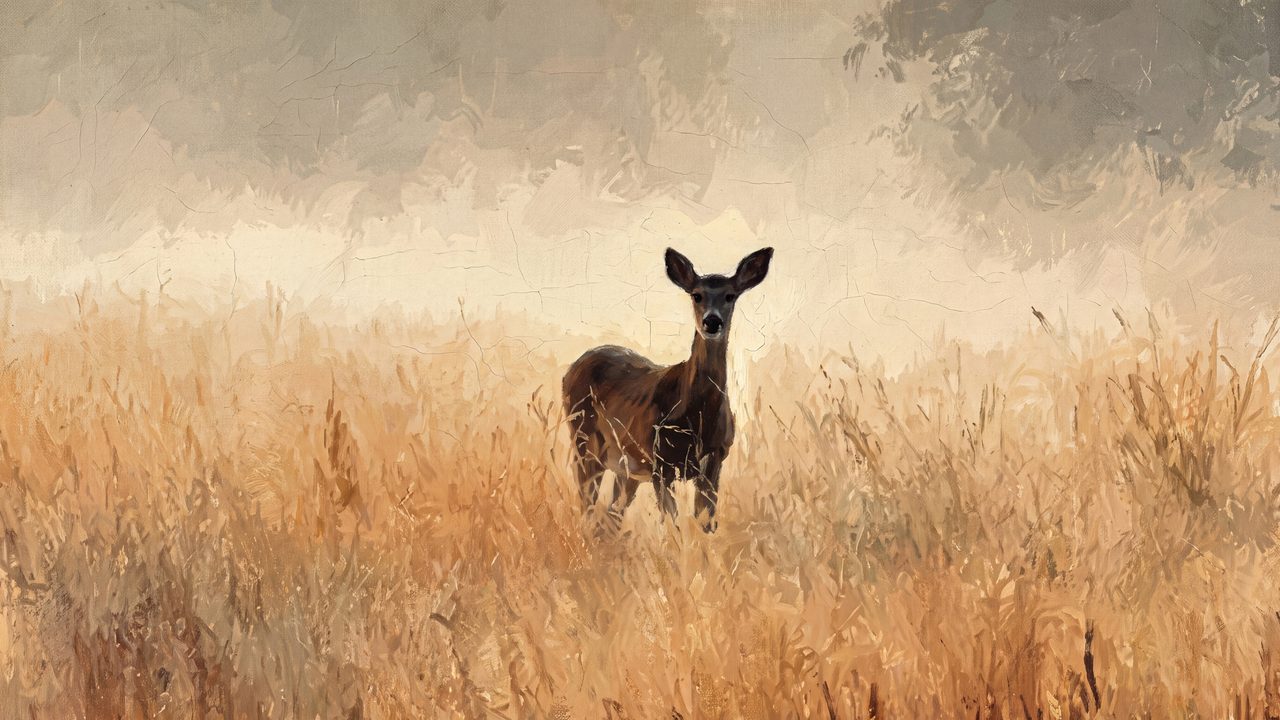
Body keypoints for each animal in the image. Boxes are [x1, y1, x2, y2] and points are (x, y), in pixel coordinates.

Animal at [562, 246, 773, 531]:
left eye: (730, 295)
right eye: (697, 295)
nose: (712, 321)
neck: (697, 416)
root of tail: (572, 368)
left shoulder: (714, 461)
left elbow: (705, 522)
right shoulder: (661, 463)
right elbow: (673, 524)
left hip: (625, 466)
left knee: (611, 514)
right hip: (584, 441)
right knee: (588, 504)